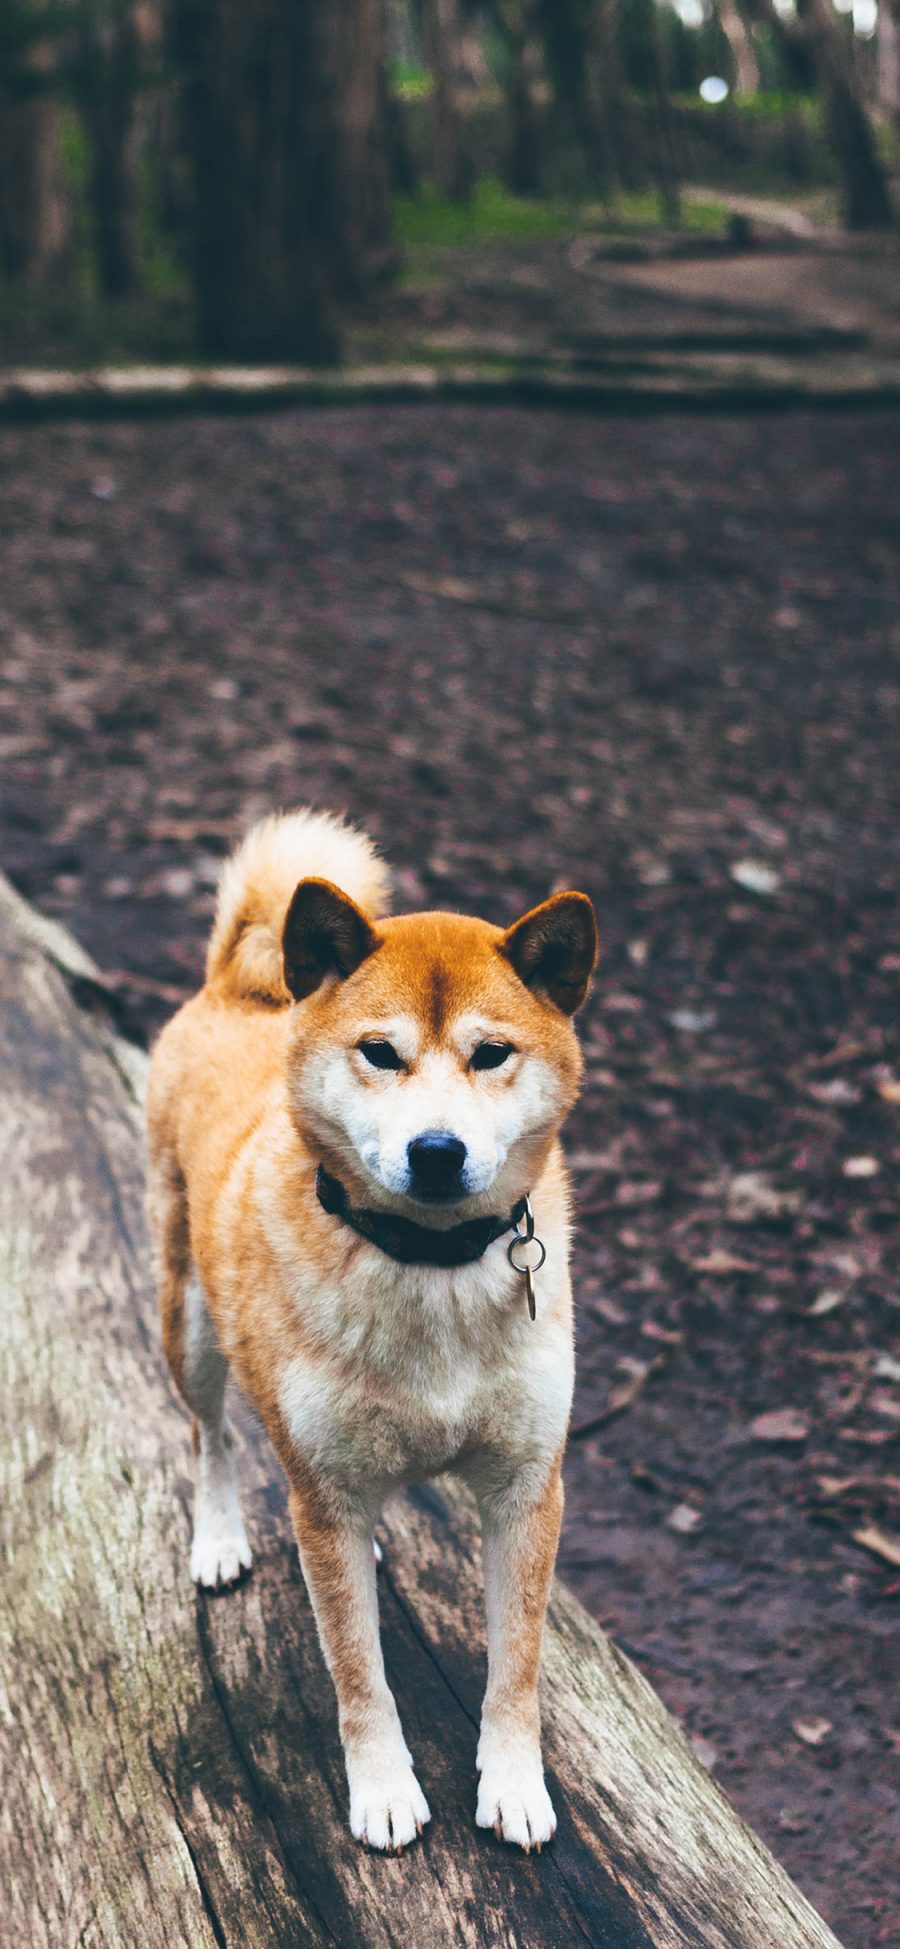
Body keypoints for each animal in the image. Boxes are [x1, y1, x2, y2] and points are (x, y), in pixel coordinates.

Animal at [148, 806, 596, 1855]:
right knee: (211, 1434)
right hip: (191, 1326)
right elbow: (359, 1673)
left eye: (491, 1053)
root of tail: (236, 987)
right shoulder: (326, 1498)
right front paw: (384, 1787)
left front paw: (514, 1783)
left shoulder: (528, 1490)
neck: (428, 1265)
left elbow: (516, 1666)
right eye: (380, 1052)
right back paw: (218, 1536)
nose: (437, 1150)